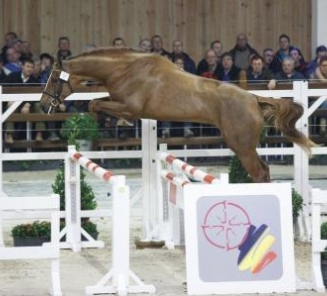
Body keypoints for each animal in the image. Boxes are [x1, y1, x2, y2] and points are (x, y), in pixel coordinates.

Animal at [39, 48, 316, 183]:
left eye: (53, 78)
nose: (43, 106)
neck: (124, 69)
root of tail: (253, 99)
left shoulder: (132, 107)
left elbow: (94, 104)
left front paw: (119, 121)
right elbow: (96, 104)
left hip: (241, 145)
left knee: (259, 173)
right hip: (243, 146)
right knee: (264, 171)